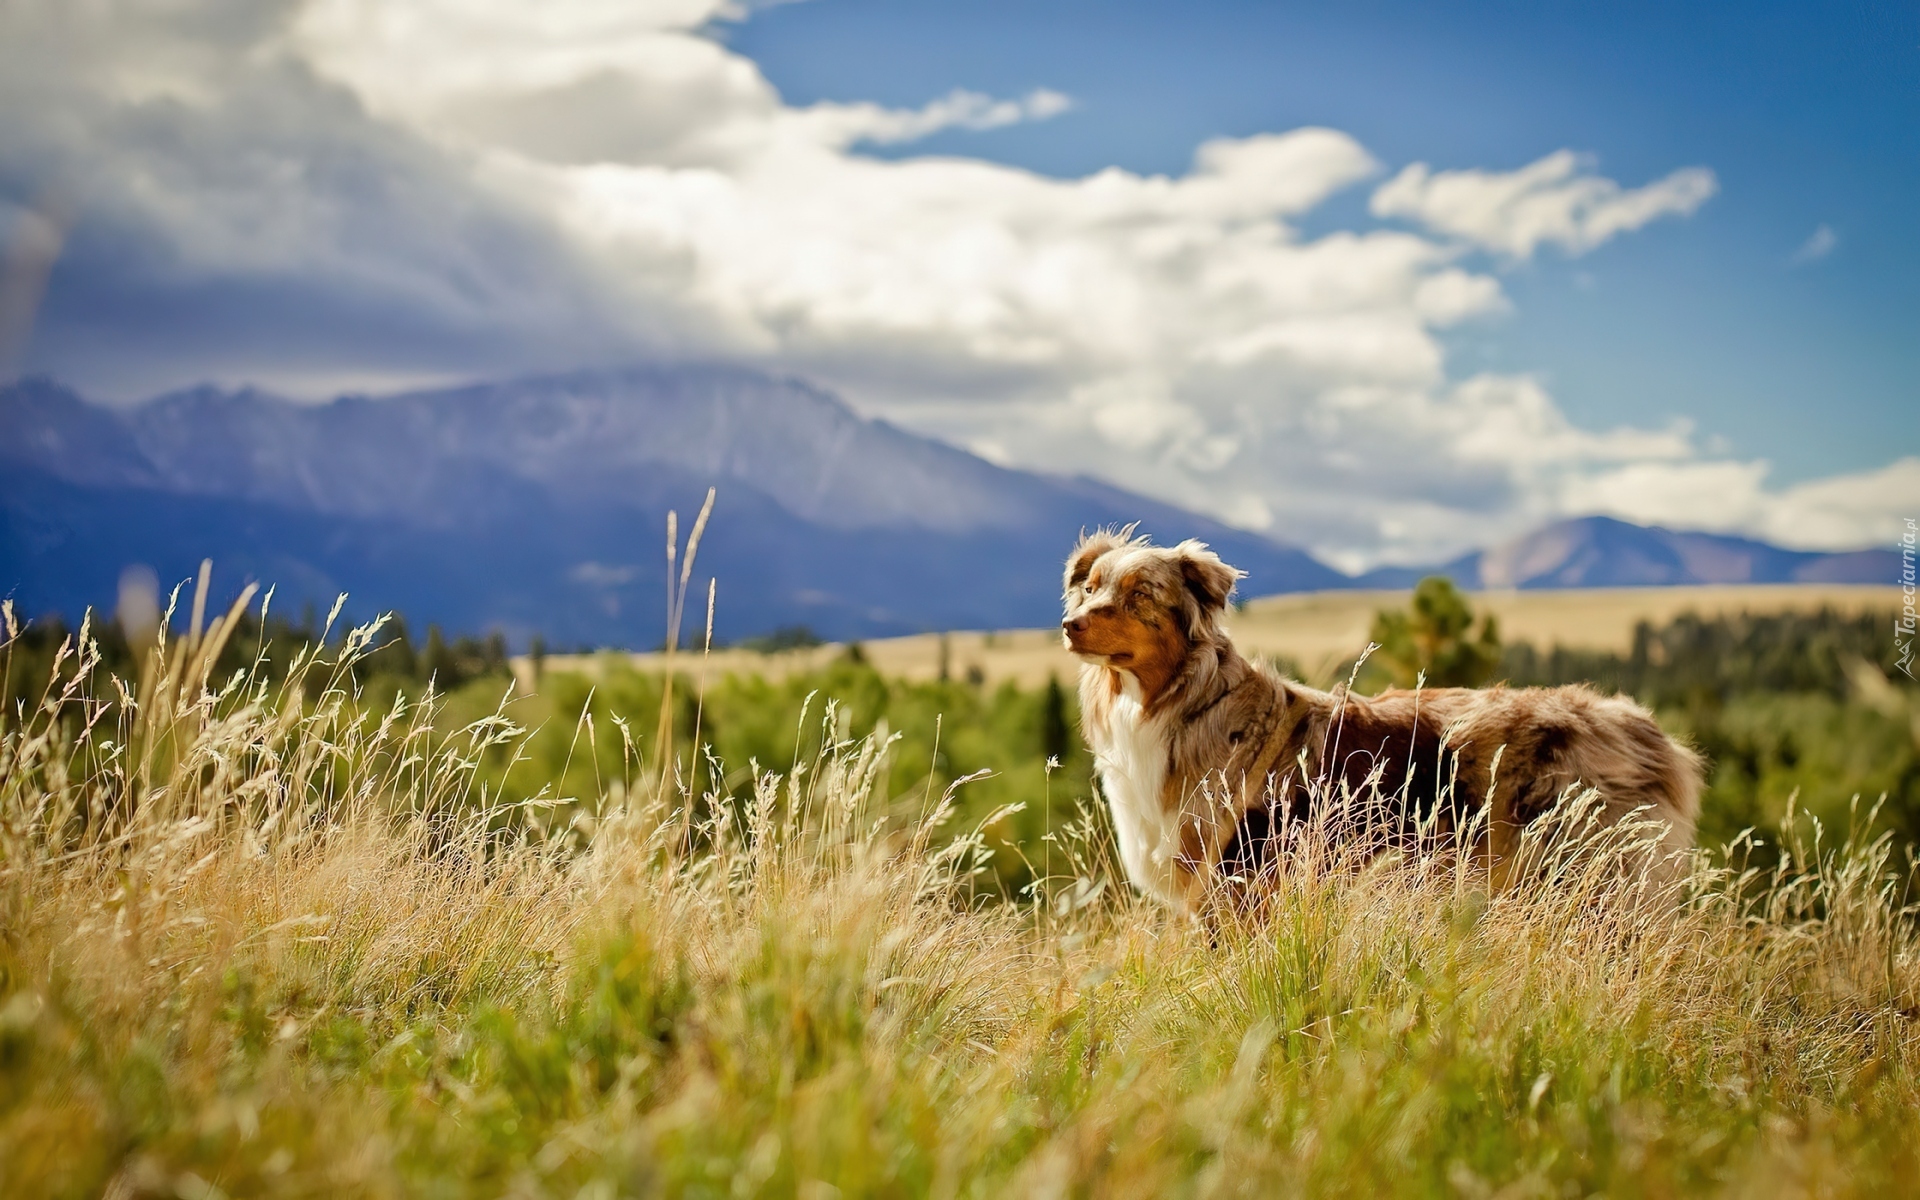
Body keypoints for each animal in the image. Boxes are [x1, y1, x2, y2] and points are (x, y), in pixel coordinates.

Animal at [1059, 522, 1704, 906]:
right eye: (1089, 588)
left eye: (1140, 594)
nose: (1068, 625)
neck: (1176, 701)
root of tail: (1643, 728)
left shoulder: (1241, 878)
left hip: (1590, 875)